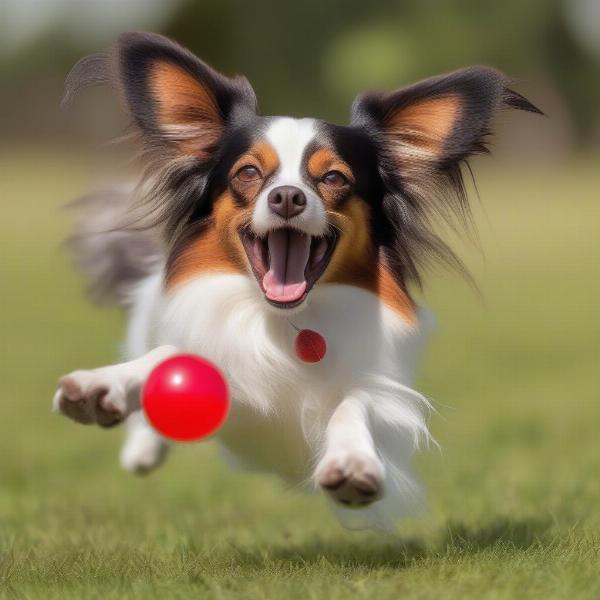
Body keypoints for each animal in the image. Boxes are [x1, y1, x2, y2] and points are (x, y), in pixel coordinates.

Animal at [52, 32, 540, 528]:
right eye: (249, 172)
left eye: (334, 177)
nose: (287, 196)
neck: (288, 322)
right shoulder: (234, 384)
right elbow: (171, 356)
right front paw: (102, 386)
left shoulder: (391, 405)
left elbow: (354, 404)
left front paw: (352, 461)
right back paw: (141, 446)